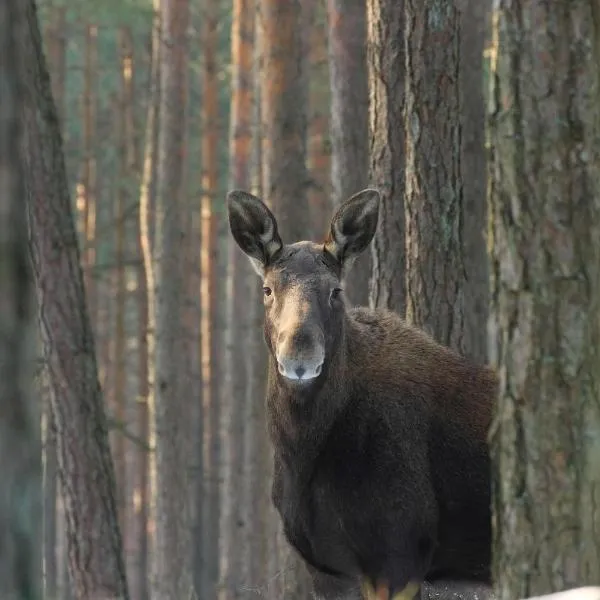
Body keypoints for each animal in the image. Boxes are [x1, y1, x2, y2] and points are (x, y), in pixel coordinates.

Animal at [227, 190, 494, 600]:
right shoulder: (326, 568)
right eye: (268, 289)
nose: (299, 355)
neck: (301, 453)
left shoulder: (400, 553)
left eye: (336, 290)